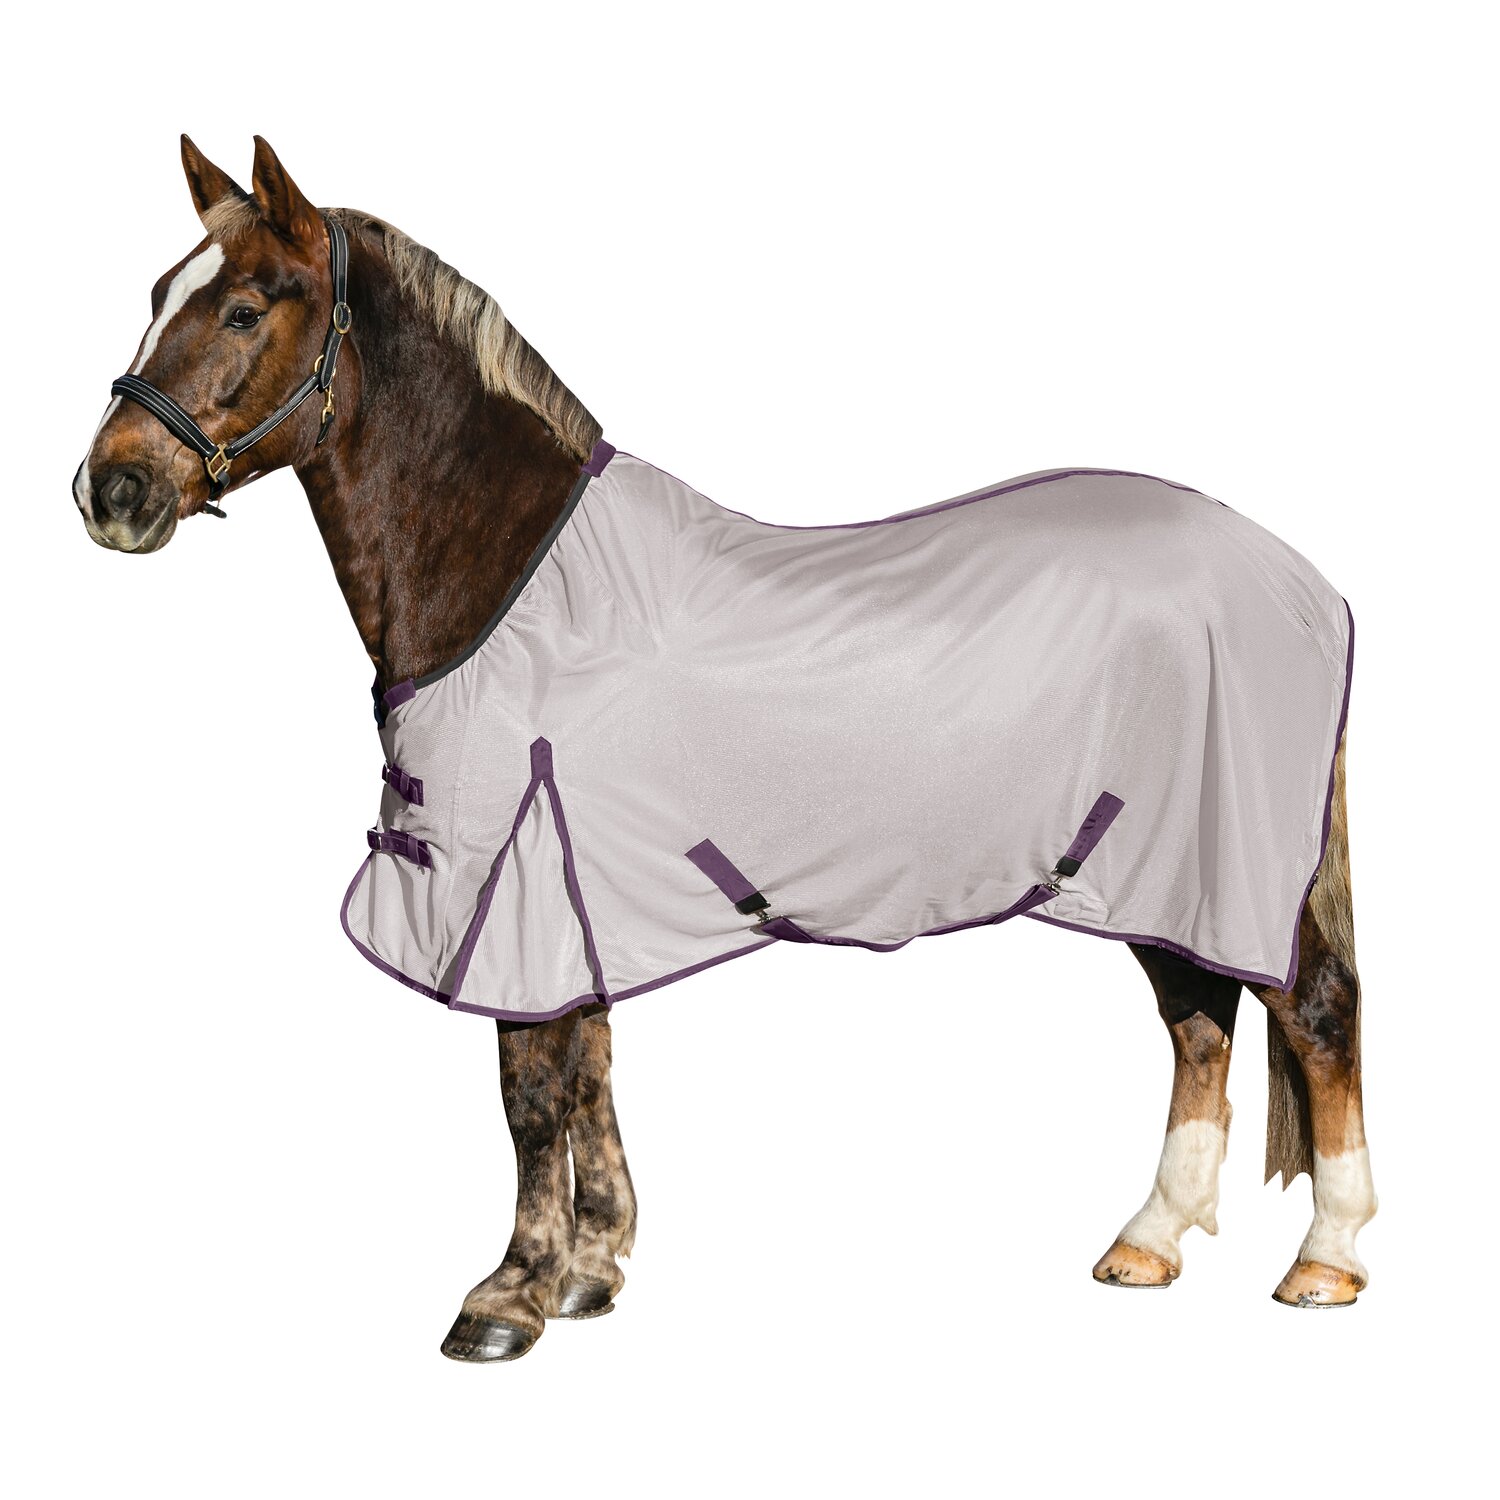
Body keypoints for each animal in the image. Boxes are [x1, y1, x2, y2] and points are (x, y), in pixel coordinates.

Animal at [73, 136, 1377, 1360]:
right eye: (157, 290)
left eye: (246, 307)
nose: (109, 490)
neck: (511, 574)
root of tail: (1302, 580)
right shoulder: (576, 885)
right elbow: (591, 1069)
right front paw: (592, 1270)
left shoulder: (514, 879)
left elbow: (529, 1091)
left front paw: (507, 1298)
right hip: (1147, 870)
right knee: (1199, 1022)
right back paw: (1148, 1244)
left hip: (1224, 862)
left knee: (1314, 1014)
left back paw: (1327, 1261)